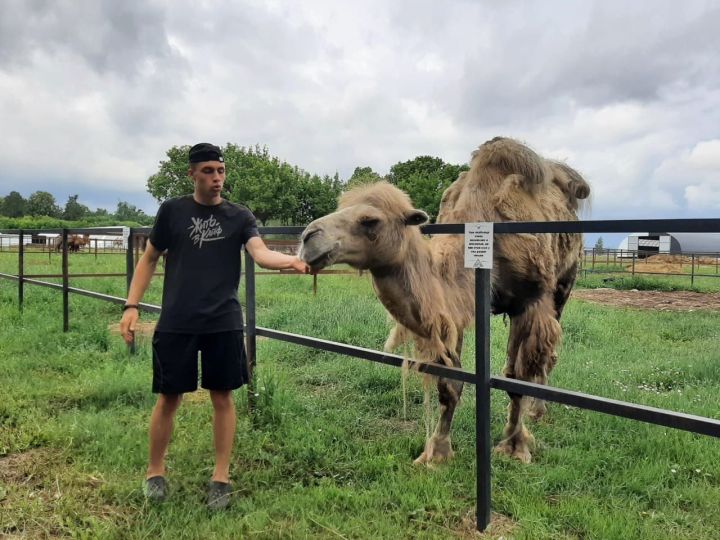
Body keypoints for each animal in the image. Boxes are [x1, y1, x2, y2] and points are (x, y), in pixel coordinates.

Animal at [298, 138, 592, 464]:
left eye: (370, 220)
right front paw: (436, 453)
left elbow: (517, 378)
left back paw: (537, 411)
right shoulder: (454, 312)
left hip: (563, 285)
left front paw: (515, 447)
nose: (308, 237)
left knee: (545, 355)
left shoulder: (528, 302)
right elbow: (449, 383)